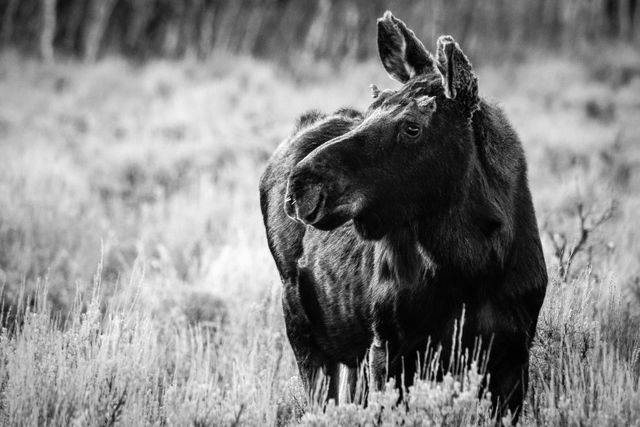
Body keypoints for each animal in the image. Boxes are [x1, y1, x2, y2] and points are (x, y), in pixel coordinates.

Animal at [258, 11, 548, 422]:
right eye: (369, 112)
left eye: (412, 127)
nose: (301, 186)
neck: (474, 266)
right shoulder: (390, 348)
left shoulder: (512, 354)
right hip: (302, 325)